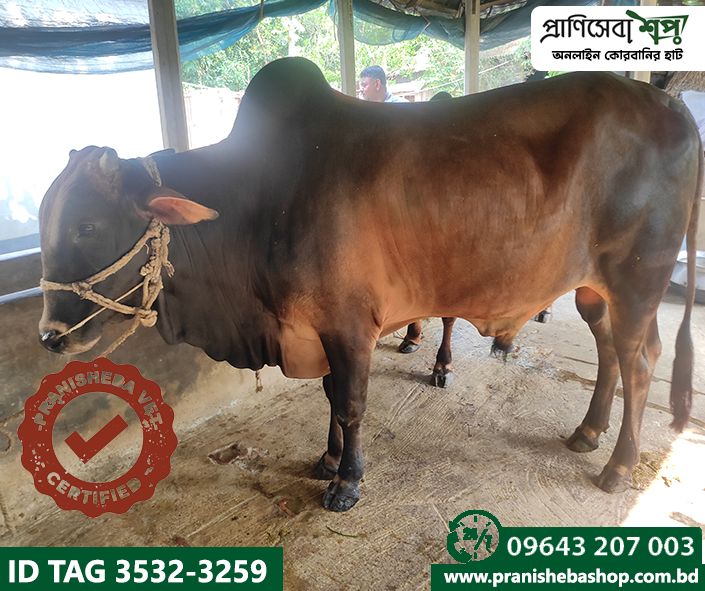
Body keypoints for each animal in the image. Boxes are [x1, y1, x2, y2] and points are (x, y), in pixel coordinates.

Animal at [38, 58, 702, 512]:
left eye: (88, 225)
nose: (49, 335)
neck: (260, 199)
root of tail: (673, 109)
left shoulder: (350, 323)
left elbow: (352, 401)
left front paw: (347, 481)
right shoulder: (317, 327)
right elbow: (331, 395)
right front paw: (327, 458)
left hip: (637, 280)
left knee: (641, 361)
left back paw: (619, 466)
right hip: (595, 290)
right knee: (610, 351)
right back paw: (587, 432)